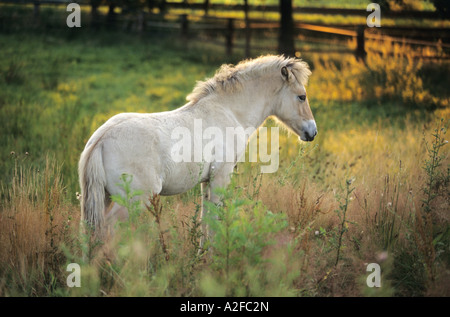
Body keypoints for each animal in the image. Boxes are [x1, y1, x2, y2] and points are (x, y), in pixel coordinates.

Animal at [78, 54, 316, 243]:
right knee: (108, 230)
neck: (229, 111)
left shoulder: (206, 181)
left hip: (105, 198)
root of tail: (100, 140)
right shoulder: (221, 176)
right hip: (133, 200)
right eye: (301, 96)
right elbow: (214, 220)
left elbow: (204, 220)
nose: (312, 132)